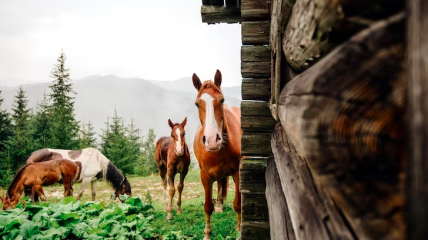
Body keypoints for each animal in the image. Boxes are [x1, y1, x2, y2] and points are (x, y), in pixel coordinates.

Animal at [192, 70, 242, 240]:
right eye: (197, 104)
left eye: (222, 100)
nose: (212, 140)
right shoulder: (205, 176)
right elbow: (208, 206)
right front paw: (207, 233)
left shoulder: (238, 172)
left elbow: (237, 203)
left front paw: (239, 230)